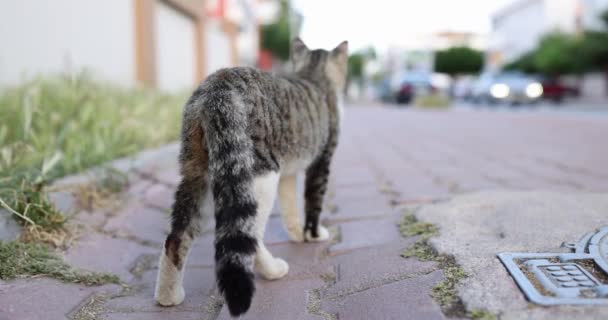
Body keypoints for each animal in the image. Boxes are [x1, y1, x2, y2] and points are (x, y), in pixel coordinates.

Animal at [154, 38, 350, 318]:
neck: (313, 74)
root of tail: (218, 85)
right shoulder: (321, 161)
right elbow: (314, 202)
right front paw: (313, 235)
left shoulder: (288, 172)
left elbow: (291, 207)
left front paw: (297, 234)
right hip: (261, 176)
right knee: (252, 235)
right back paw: (273, 270)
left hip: (196, 172)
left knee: (176, 238)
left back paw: (168, 296)